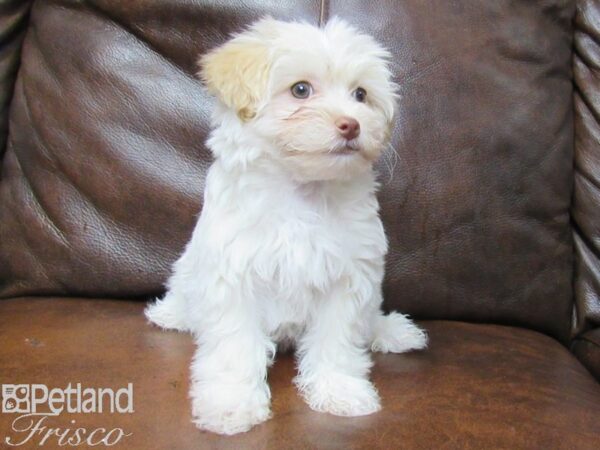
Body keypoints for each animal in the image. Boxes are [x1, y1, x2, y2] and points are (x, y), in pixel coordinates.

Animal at [145, 17, 426, 436]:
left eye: (360, 94)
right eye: (300, 90)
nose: (352, 125)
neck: (302, 190)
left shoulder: (348, 278)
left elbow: (337, 341)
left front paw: (339, 390)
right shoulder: (233, 275)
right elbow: (233, 348)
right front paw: (231, 403)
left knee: (367, 320)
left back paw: (388, 330)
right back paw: (172, 313)